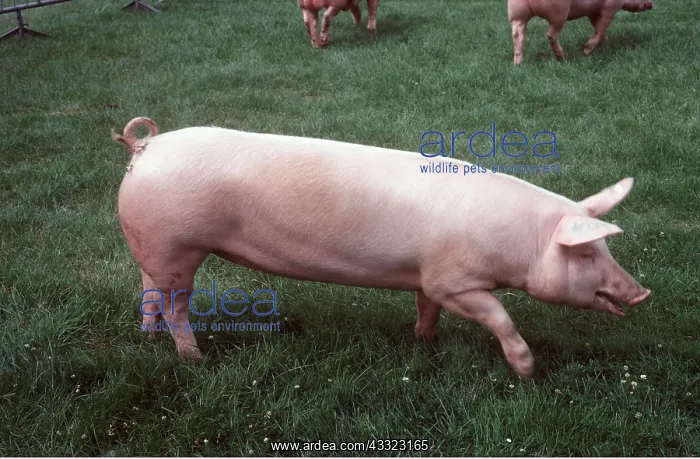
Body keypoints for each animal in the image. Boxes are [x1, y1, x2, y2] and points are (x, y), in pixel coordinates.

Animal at [112, 117, 651, 379]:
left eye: (603, 251)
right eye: (585, 253)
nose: (641, 292)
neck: (521, 242)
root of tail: (144, 148)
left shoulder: (427, 276)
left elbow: (426, 310)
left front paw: (426, 345)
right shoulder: (455, 281)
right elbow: (499, 317)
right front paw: (527, 372)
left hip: (153, 249)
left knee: (148, 292)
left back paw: (149, 339)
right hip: (175, 246)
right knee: (176, 305)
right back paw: (195, 360)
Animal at [508, 0, 653, 66]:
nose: (652, 4)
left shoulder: (593, 10)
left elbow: (598, 27)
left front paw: (607, 46)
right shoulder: (610, 6)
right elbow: (601, 27)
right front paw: (586, 52)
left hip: (516, 11)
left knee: (517, 34)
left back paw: (518, 64)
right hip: (558, 13)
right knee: (550, 34)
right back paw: (562, 57)